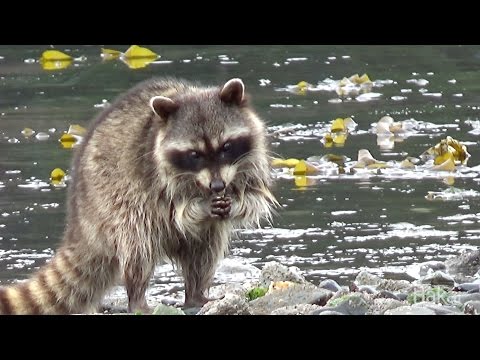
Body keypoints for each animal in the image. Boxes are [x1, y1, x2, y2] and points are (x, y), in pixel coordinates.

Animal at [0, 77, 278, 314]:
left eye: (226, 147)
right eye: (194, 154)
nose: (218, 187)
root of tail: (80, 213)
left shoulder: (252, 159)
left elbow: (255, 196)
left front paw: (238, 202)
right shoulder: (153, 173)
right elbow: (174, 210)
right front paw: (196, 207)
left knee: (205, 249)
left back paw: (195, 293)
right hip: (111, 200)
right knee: (138, 243)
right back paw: (137, 298)